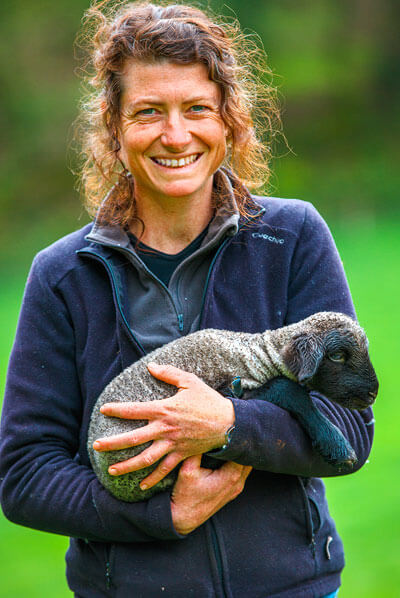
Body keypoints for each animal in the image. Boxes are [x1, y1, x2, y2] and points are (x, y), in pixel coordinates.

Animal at [87, 312, 378, 504]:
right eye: (337, 356)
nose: (373, 392)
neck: (259, 356)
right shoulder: (229, 389)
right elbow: (288, 390)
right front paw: (337, 446)